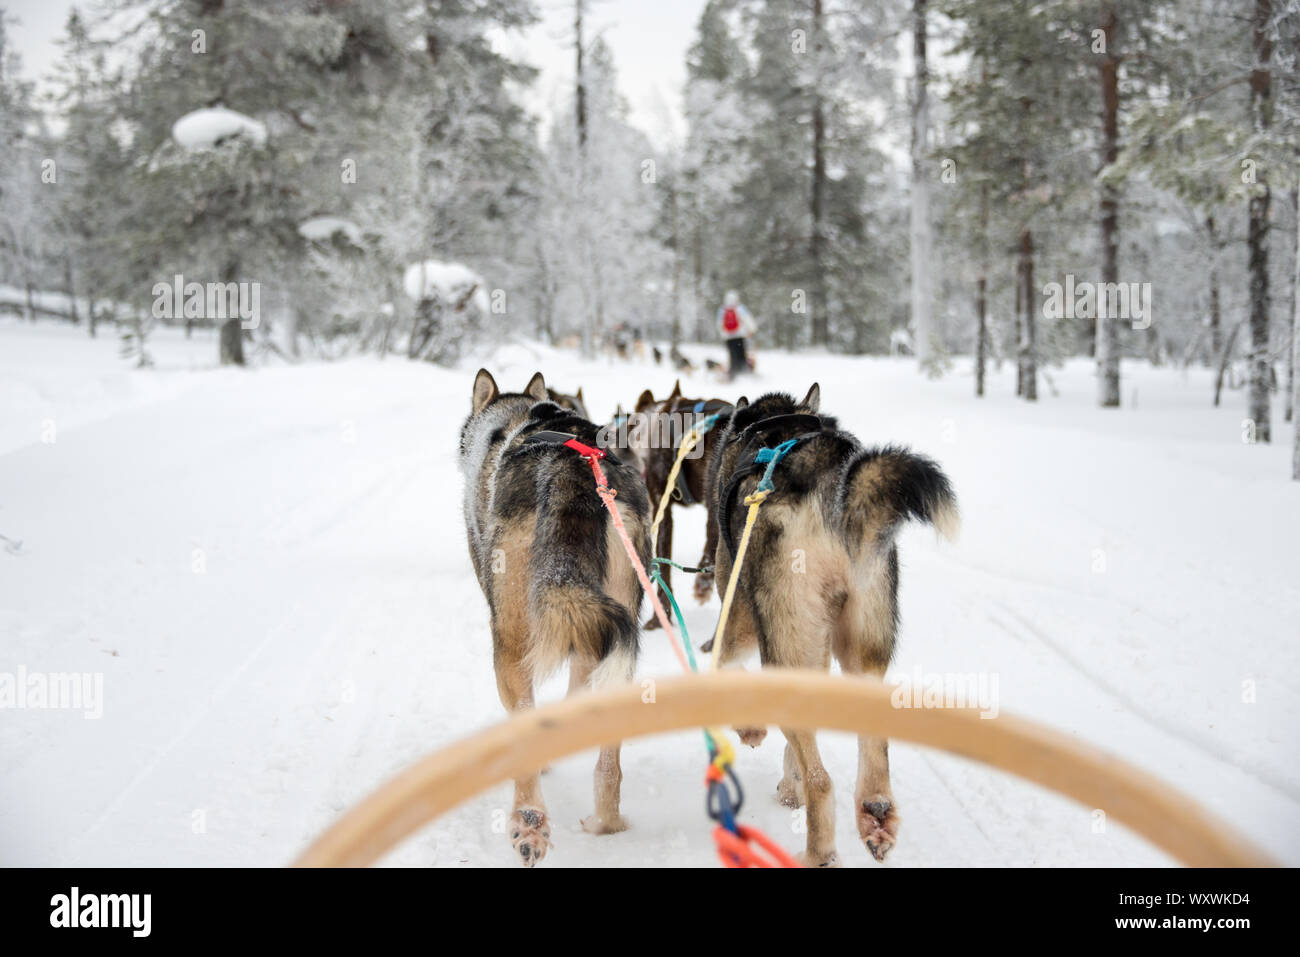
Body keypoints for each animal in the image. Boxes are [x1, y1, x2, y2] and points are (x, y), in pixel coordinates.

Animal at [462, 369, 655, 863]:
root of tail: (572, 474)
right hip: (615, 632)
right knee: (608, 767)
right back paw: (606, 821)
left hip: (510, 640)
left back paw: (528, 826)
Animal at [707, 382, 961, 868]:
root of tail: (829, 482)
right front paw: (790, 786)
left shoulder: (738, 617)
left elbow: (727, 666)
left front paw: (751, 729)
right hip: (861, 648)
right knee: (872, 751)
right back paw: (875, 812)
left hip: (784, 647)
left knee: (823, 781)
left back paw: (818, 851)